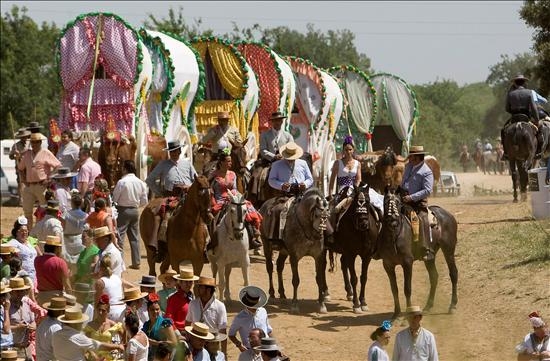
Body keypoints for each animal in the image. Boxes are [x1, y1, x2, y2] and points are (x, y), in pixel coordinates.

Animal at [380, 187, 462, 320]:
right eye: (386, 202)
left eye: (398, 202)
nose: (393, 222)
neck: (395, 235)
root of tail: (449, 215)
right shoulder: (388, 265)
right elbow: (394, 289)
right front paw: (396, 314)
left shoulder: (407, 263)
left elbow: (407, 289)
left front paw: (408, 314)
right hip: (430, 257)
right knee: (434, 276)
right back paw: (428, 306)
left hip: (448, 249)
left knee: (453, 273)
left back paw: (452, 306)